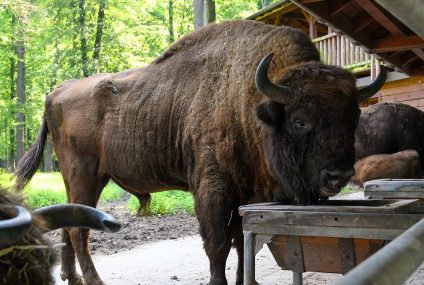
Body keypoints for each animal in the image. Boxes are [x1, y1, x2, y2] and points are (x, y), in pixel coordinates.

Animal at [14, 20, 386, 284]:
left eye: (354, 117)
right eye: (299, 121)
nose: (338, 175)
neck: (248, 102)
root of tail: (55, 92)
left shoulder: (246, 196)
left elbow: (241, 244)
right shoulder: (213, 188)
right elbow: (217, 245)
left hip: (79, 179)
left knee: (70, 224)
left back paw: (71, 277)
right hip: (86, 175)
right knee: (80, 231)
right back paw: (93, 280)